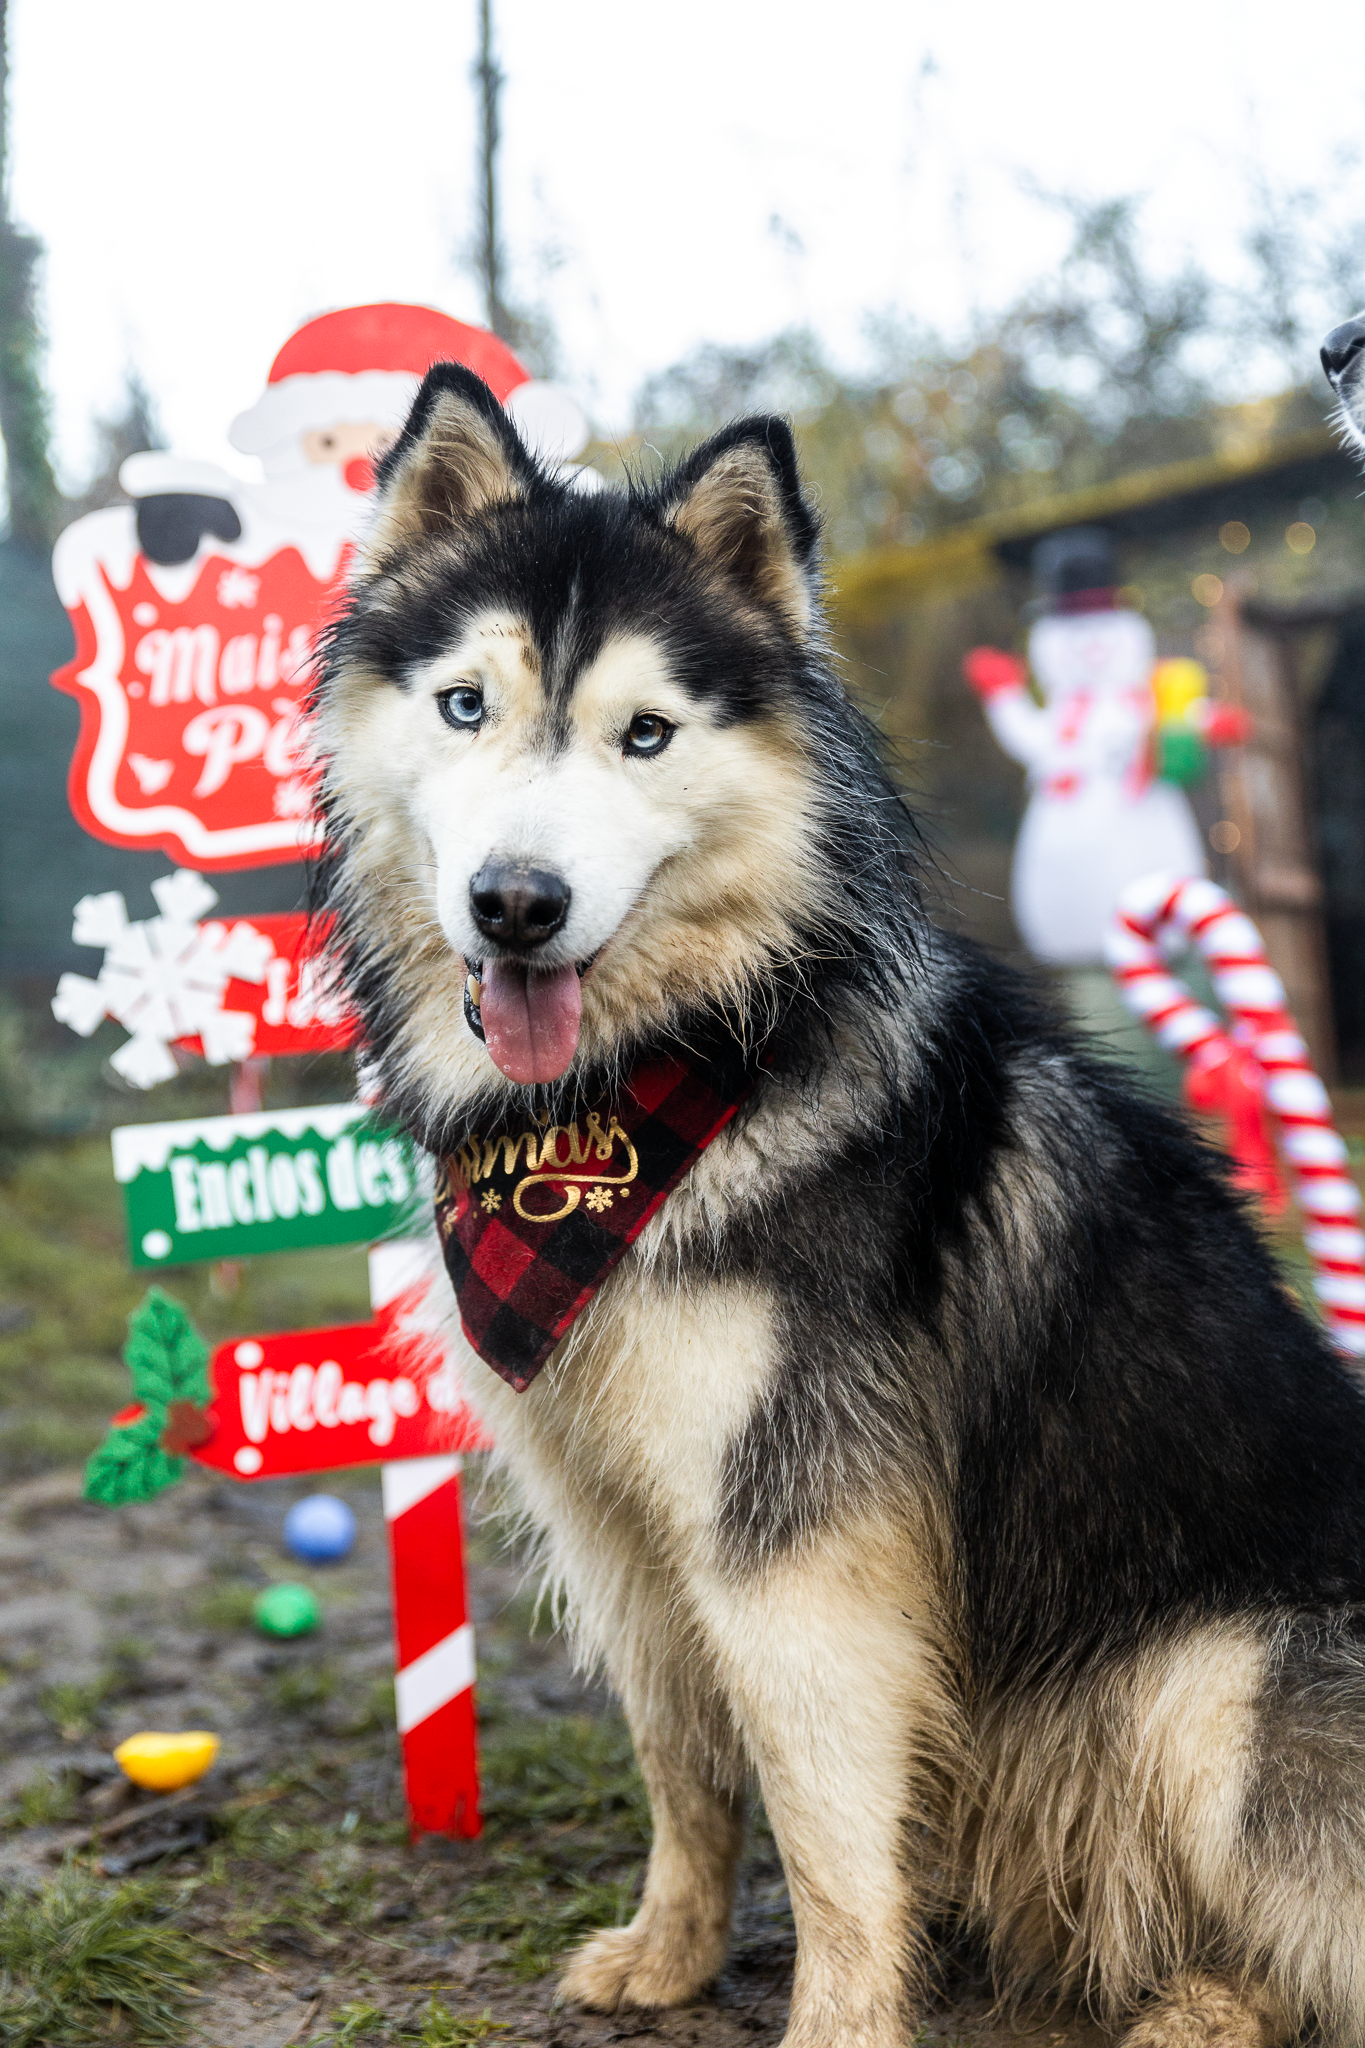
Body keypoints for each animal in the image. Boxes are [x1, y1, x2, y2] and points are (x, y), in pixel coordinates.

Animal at [315, 364, 1365, 2048]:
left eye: (646, 734)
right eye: (465, 705)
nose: (517, 904)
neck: (629, 1113)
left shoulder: (797, 1550)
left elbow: (822, 1834)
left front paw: (838, 2018)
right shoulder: (618, 1519)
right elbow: (683, 1764)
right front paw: (670, 1954)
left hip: (1216, 1671)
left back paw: (1201, 2011)